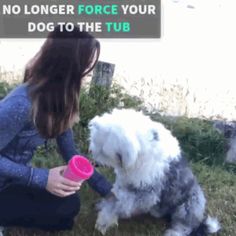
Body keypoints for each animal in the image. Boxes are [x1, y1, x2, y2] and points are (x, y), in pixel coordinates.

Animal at [87, 109, 220, 235]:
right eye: (96, 146)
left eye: (104, 153)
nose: (95, 163)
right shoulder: (126, 181)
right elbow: (116, 197)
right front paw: (104, 206)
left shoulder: (147, 193)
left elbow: (121, 203)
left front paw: (104, 220)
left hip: (189, 205)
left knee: (184, 225)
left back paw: (173, 232)